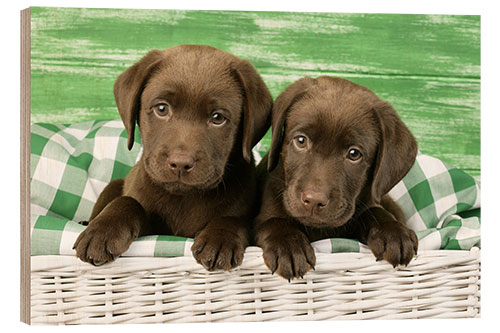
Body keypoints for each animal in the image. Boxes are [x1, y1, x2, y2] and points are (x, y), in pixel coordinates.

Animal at [72, 44, 272, 270]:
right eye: (162, 108)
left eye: (218, 118)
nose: (181, 163)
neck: (183, 198)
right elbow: (128, 201)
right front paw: (101, 232)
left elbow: (233, 219)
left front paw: (221, 238)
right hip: (113, 185)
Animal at [254, 76, 418, 278]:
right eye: (301, 141)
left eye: (354, 154)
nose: (314, 200)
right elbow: (273, 221)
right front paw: (288, 246)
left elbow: (375, 211)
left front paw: (394, 232)